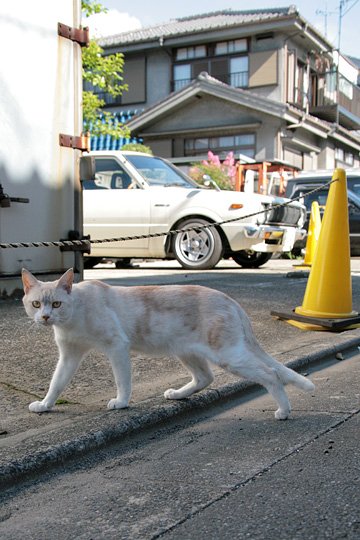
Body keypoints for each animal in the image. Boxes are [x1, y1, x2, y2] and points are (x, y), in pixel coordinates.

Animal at [21, 268, 314, 420]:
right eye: (36, 304)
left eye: (56, 303)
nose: (45, 317)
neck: (73, 317)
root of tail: (230, 300)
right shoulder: (69, 354)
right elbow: (57, 383)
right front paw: (45, 405)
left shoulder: (117, 346)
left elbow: (122, 380)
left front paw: (122, 402)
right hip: (187, 351)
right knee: (205, 378)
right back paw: (178, 394)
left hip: (229, 355)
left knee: (271, 373)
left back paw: (284, 410)